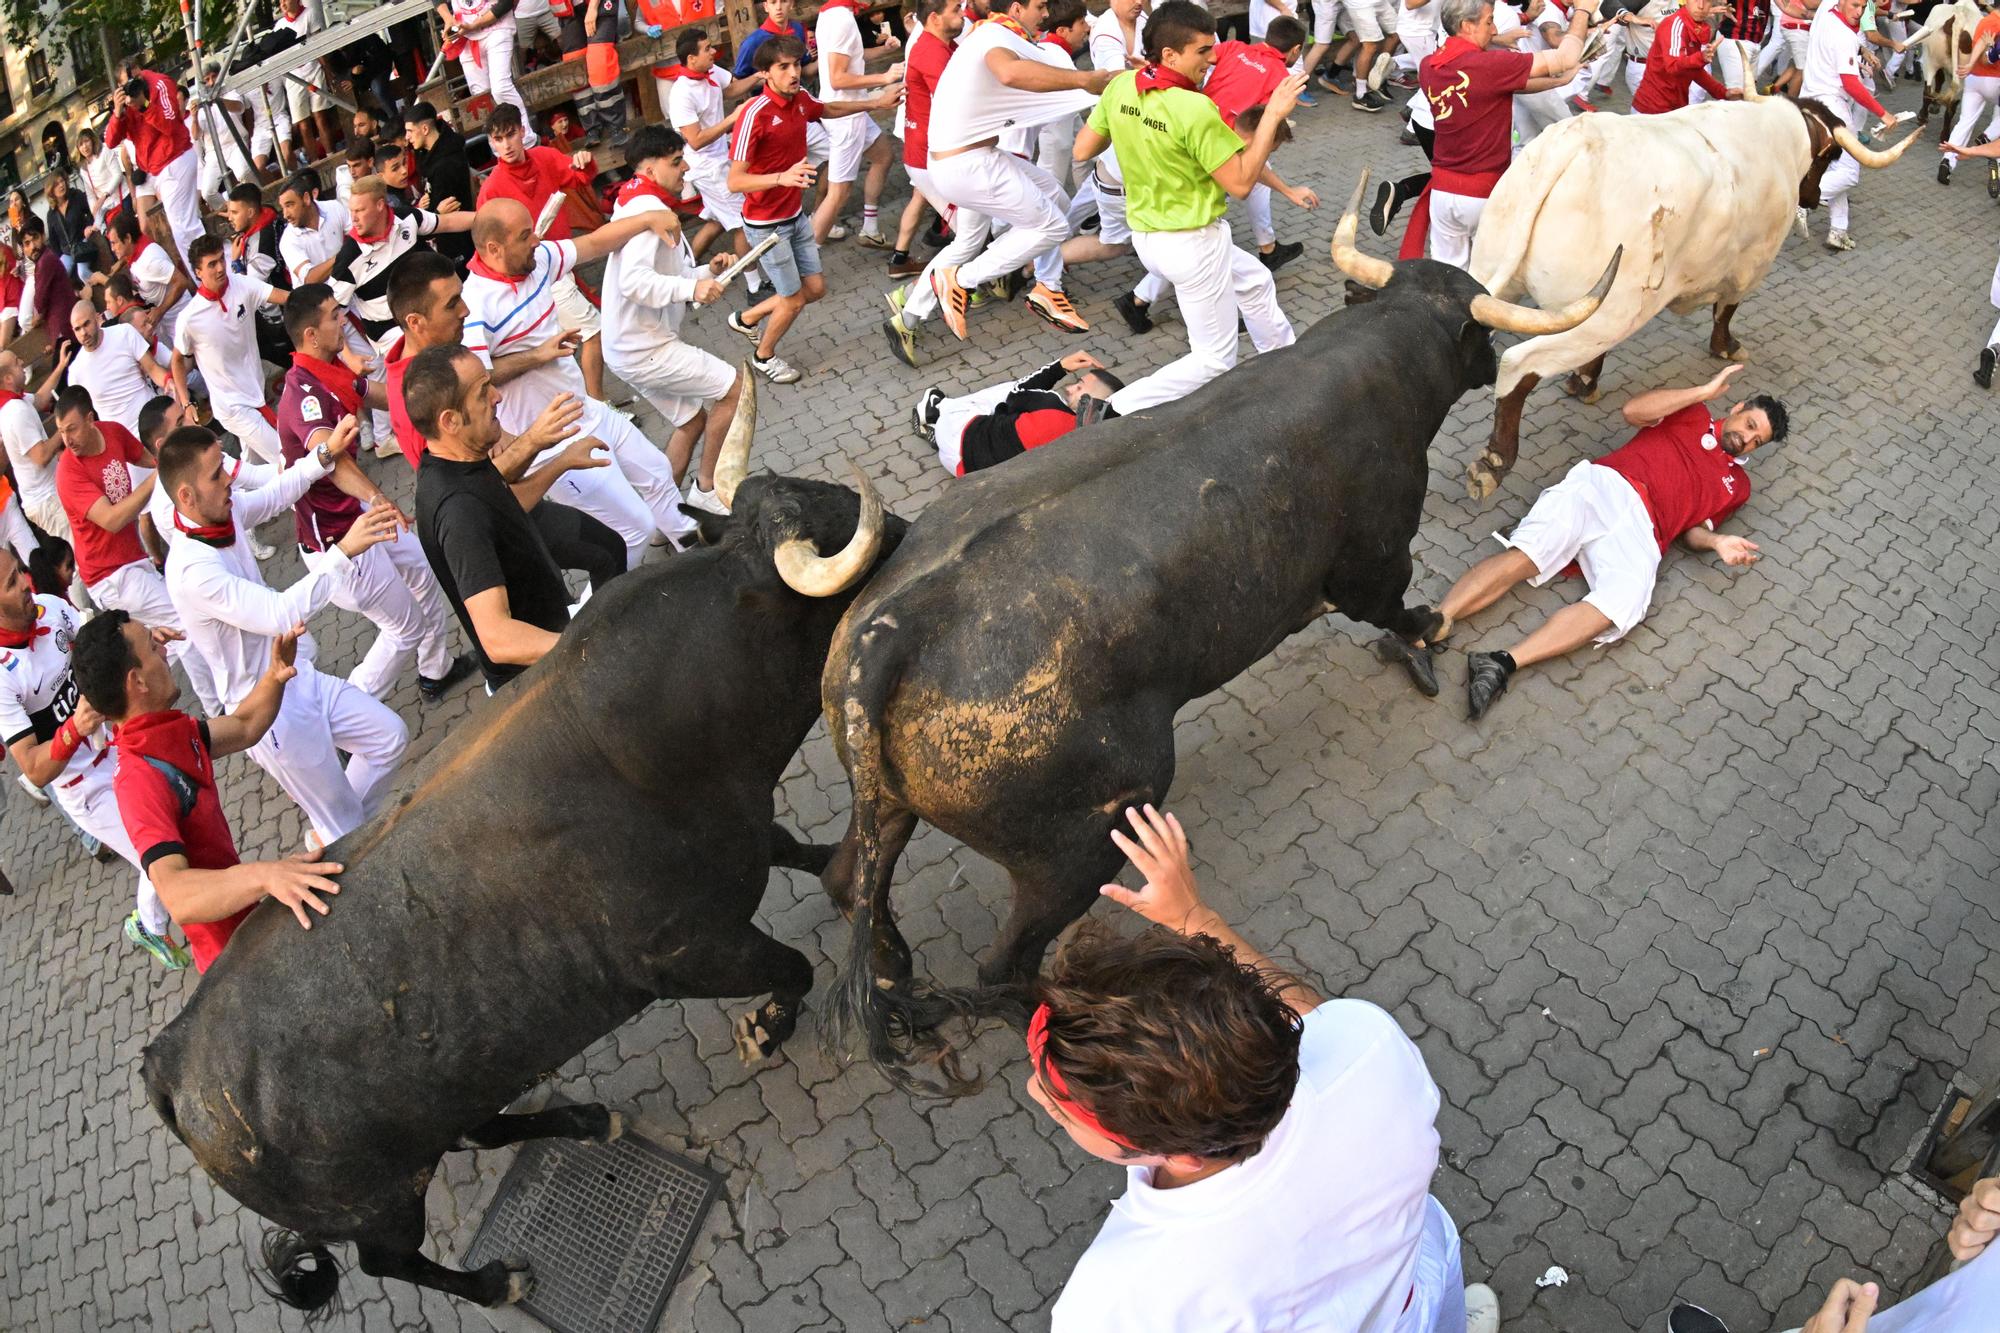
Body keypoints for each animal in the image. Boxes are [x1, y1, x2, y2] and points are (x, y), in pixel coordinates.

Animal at [146, 460, 908, 1304]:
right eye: (845, 538)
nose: (914, 536)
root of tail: (173, 1059)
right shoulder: (688, 952)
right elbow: (794, 968)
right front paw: (767, 1025)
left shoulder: (743, 839)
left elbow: (799, 850)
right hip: (378, 1202)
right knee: (391, 1258)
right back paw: (493, 1280)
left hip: (456, 1083)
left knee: (478, 1125)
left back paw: (584, 1122)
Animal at [820, 184, 1616, 1080]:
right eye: (1477, 332)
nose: (1491, 363)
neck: (1374, 363)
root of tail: (894, 628)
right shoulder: (1376, 558)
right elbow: (1397, 606)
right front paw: (1425, 635)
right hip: (1082, 841)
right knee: (1002, 965)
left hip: (888, 806)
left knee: (851, 880)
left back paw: (895, 967)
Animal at [1464, 84, 1912, 498]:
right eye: (1828, 158)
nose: (1814, 197)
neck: (1777, 137)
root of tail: (1576, 141)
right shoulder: (1751, 264)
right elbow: (1726, 309)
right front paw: (1727, 346)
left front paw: (1584, 382)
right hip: (1607, 312)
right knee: (1520, 364)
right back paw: (1494, 462)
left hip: (1497, 280)